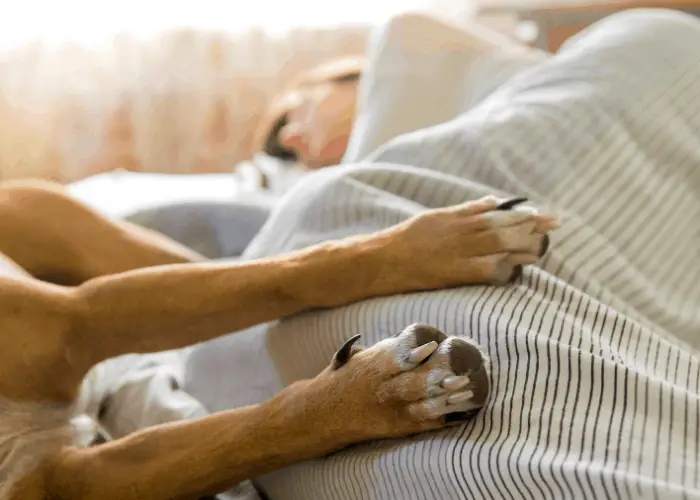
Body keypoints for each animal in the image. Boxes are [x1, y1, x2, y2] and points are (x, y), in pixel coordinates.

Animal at [0, 180, 556, 500]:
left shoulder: (82, 316)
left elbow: (281, 276)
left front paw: (445, 244)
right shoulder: (77, 478)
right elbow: (253, 433)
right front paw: (389, 395)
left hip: (76, 228)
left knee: (223, 262)